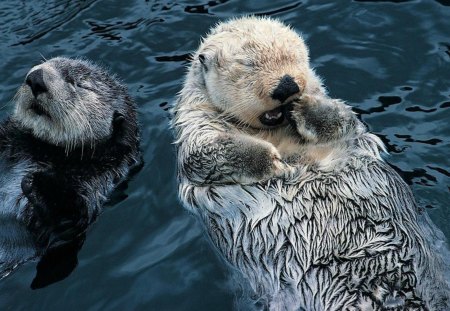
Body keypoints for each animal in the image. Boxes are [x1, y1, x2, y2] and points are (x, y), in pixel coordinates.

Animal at [0, 56, 141, 290]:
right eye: (46, 63)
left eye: (79, 84)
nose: (36, 78)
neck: (43, 151)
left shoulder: (95, 184)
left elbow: (69, 220)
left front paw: (38, 184)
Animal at [172, 16, 450, 311]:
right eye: (247, 64)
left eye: (295, 56)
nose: (287, 86)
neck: (275, 132)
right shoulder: (195, 125)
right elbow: (205, 153)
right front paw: (274, 162)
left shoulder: (344, 124)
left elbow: (342, 119)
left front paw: (303, 108)